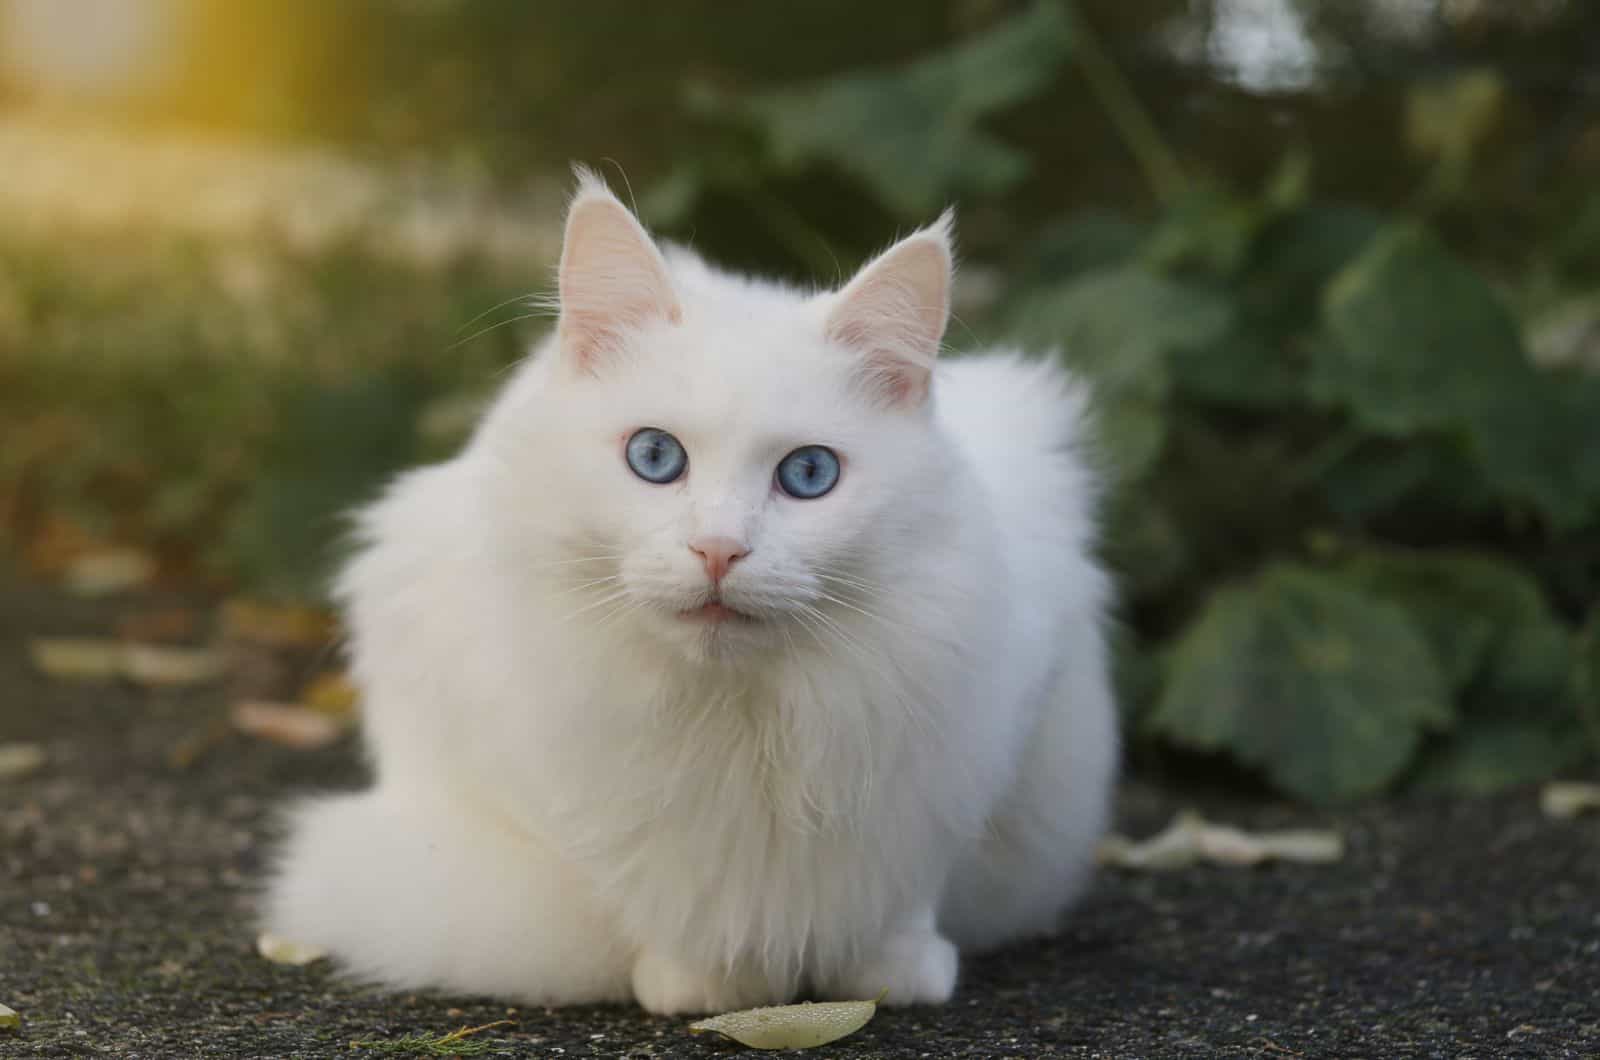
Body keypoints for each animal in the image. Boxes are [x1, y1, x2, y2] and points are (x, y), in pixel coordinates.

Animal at [262, 170, 1120, 1018]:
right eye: (654, 457)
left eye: (809, 474)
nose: (719, 550)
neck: (742, 723)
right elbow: (645, 890)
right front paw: (701, 984)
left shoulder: (973, 744)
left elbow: (903, 891)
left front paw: (891, 974)